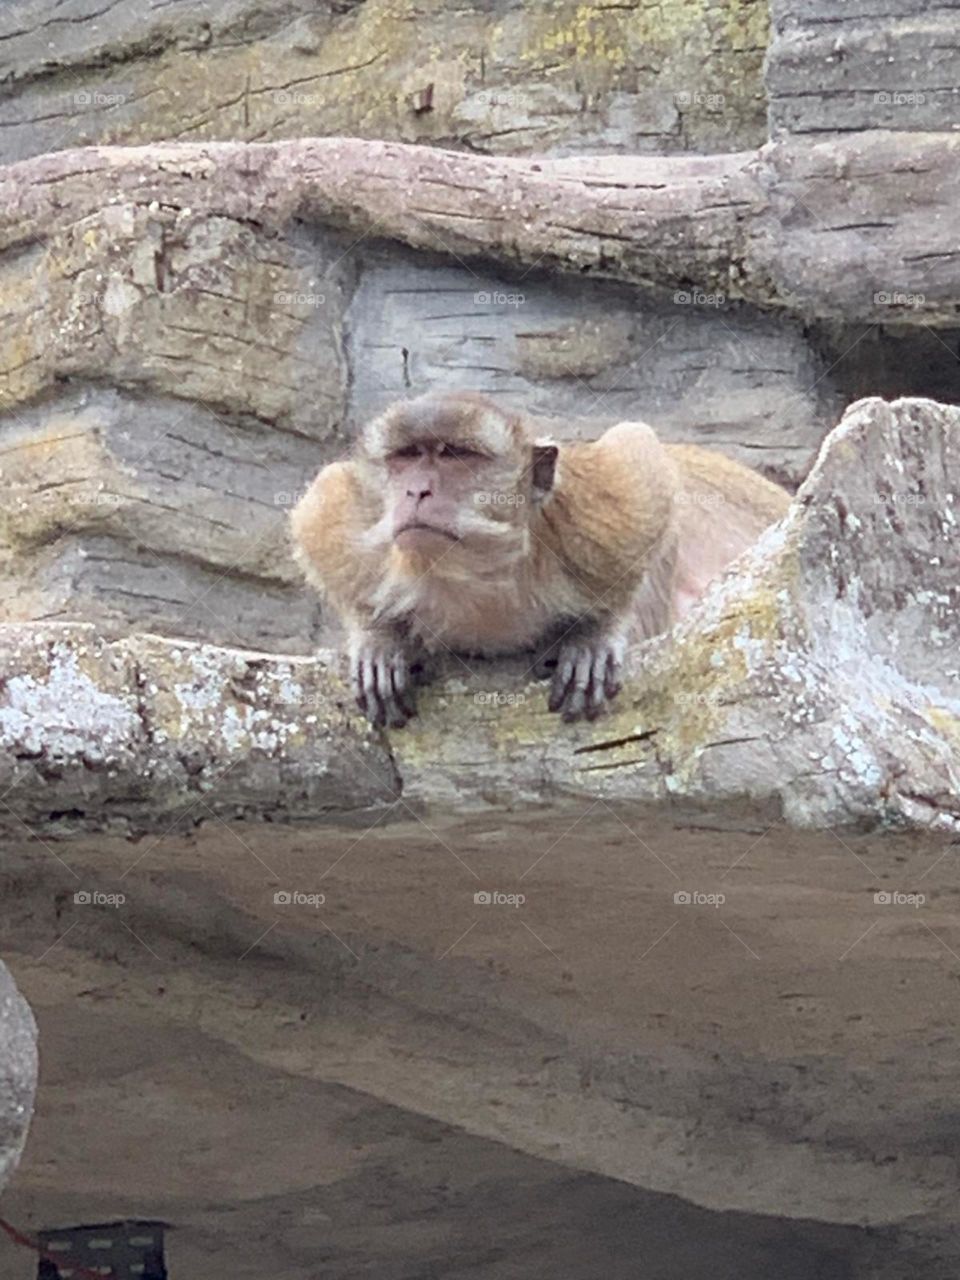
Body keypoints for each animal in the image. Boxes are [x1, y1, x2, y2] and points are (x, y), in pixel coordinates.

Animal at [290, 391, 790, 727]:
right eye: (407, 457)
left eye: (455, 455)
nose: (416, 491)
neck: (477, 573)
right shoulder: (361, 521)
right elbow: (321, 508)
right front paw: (377, 639)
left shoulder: (592, 516)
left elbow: (640, 458)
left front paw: (597, 633)